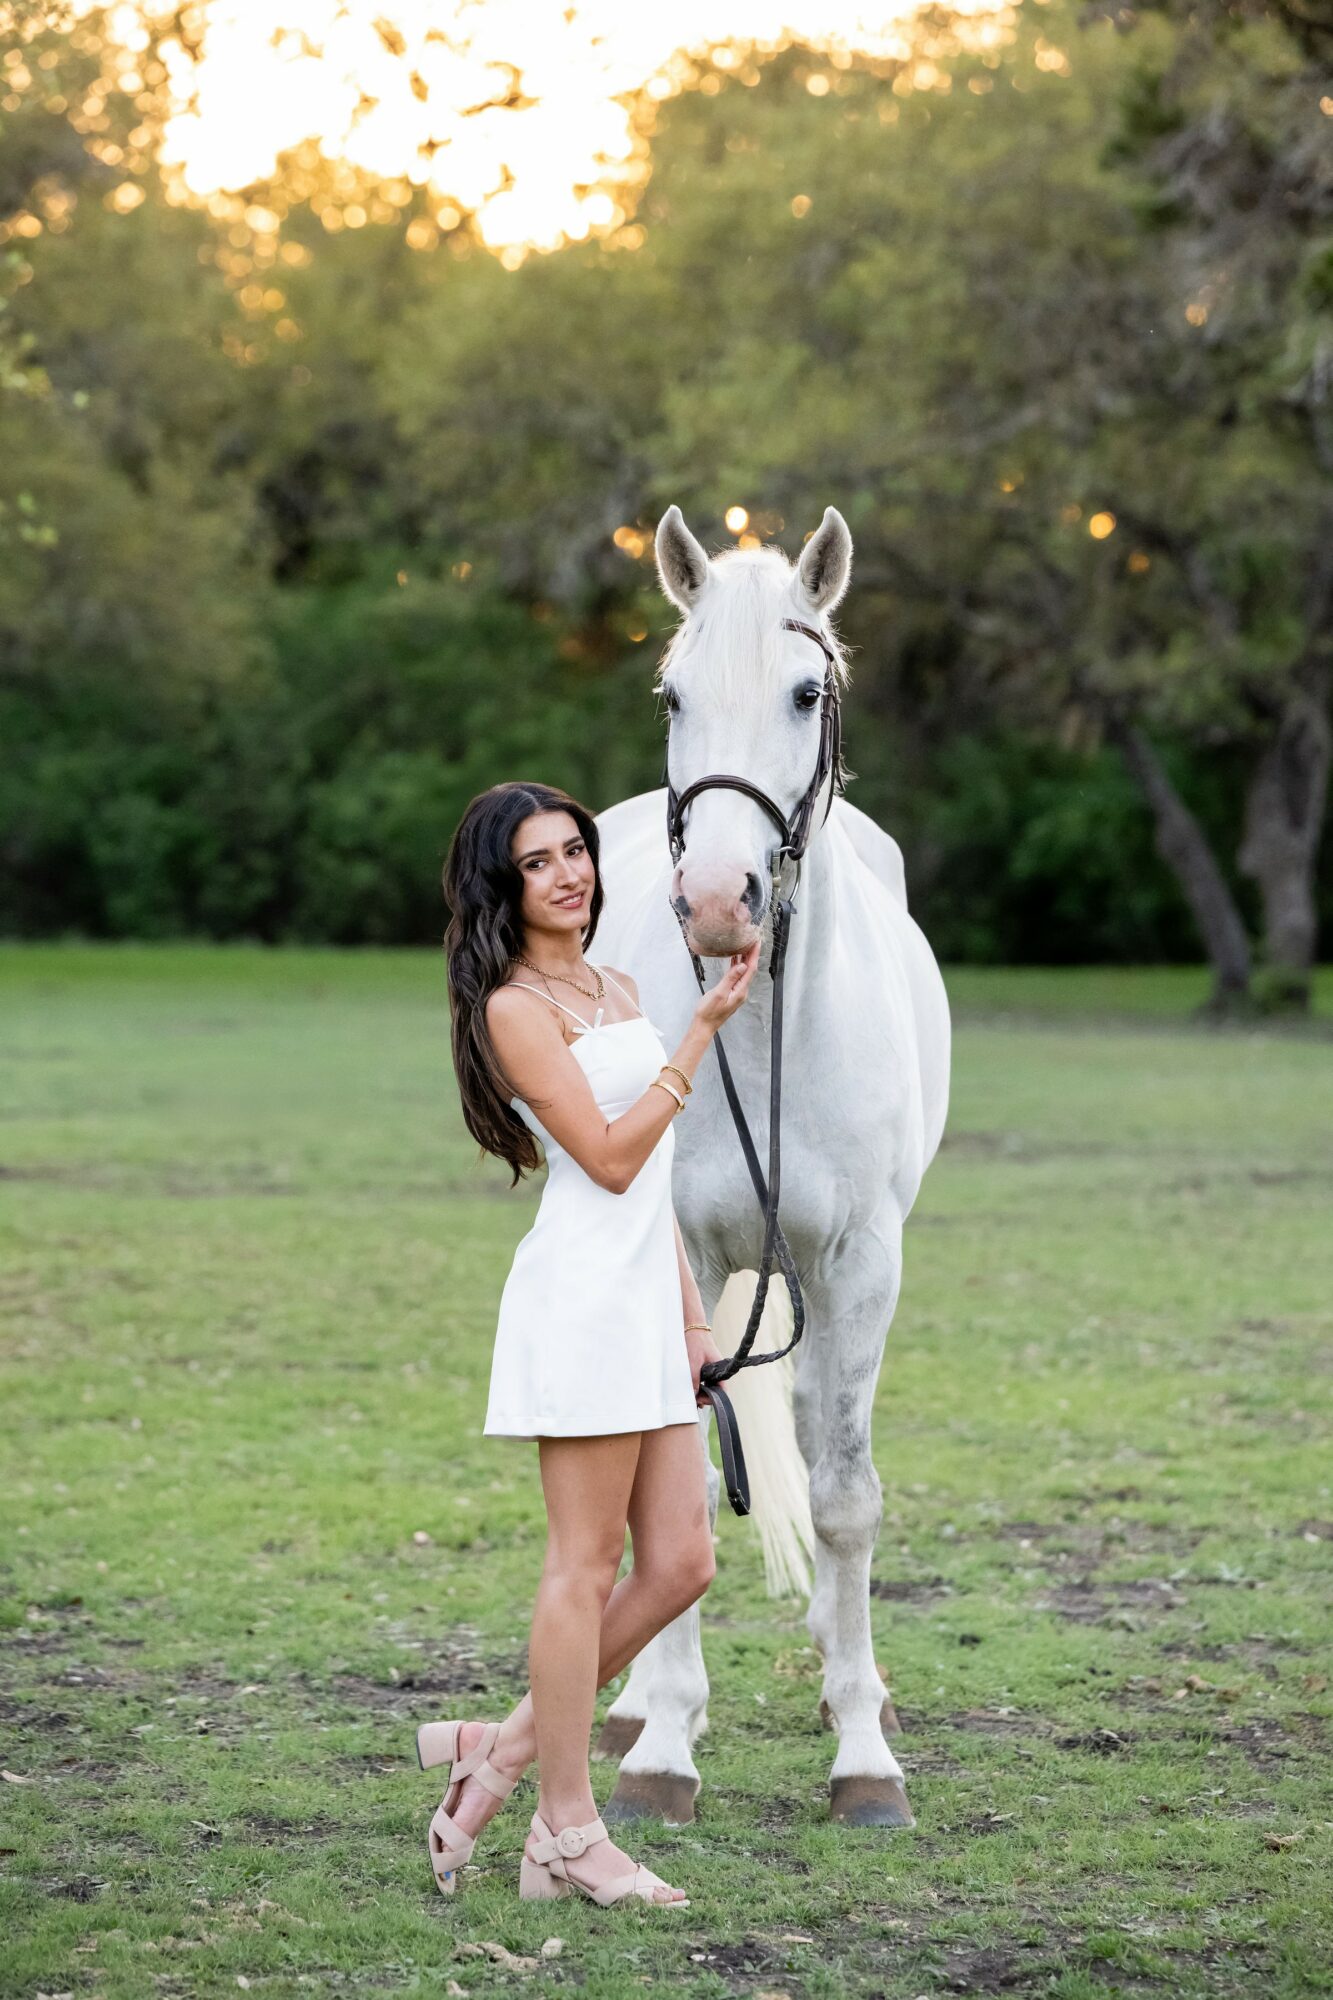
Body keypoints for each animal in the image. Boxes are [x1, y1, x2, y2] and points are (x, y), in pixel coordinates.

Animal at [588, 503, 951, 1827]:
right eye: (671, 693)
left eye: (805, 692)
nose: (713, 900)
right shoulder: (676, 1258)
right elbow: (676, 1490)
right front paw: (660, 1749)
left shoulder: (859, 1268)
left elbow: (845, 1495)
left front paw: (862, 1754)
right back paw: (636, 1700)